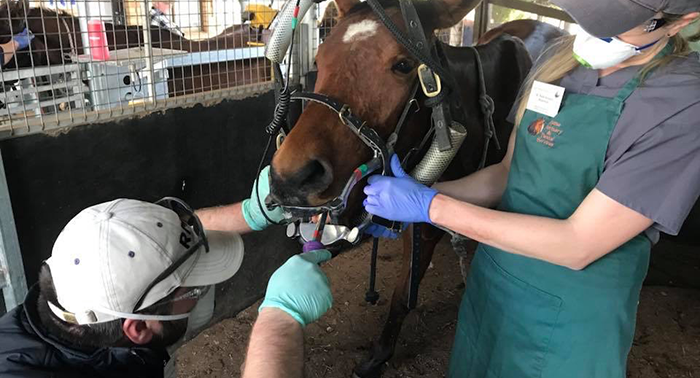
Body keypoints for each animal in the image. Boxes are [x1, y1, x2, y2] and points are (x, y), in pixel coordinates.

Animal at [266, 0, 540, 376]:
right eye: (319, 59)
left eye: (403, 65)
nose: (291, 176)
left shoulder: (429, 223)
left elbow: (402, 295)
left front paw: (380, 354)